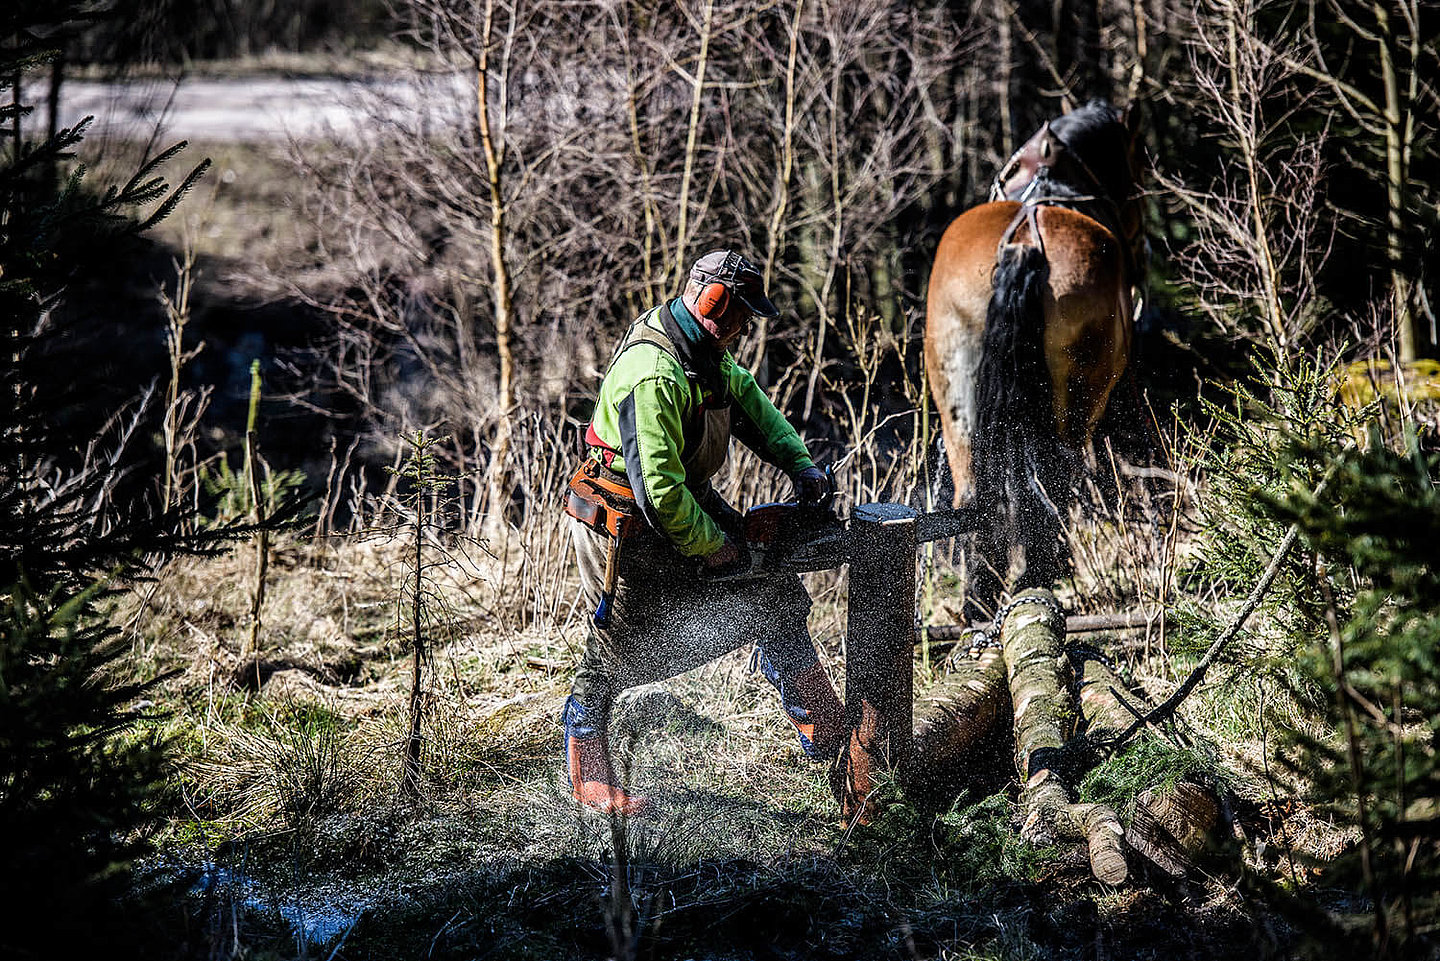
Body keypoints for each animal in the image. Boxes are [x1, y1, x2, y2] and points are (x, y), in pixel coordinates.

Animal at [921, 101, 1146, 616]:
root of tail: (1024, 243)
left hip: (958, 400)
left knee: (977, 494)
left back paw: (980, 597)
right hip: (1073, 399)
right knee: (1052, 479)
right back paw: (1040, 574)